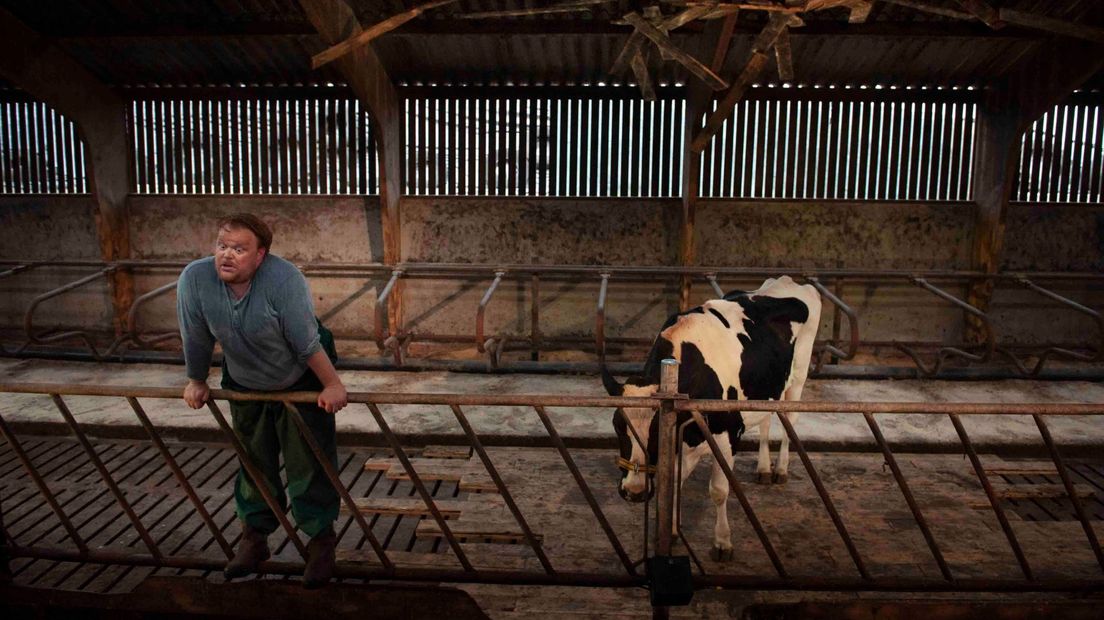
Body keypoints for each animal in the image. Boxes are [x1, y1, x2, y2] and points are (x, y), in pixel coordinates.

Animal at [604, 274, 821, 560]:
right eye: (618, 426)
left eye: (655, 429)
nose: (634, 491)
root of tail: (788, 281)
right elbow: (674, 480)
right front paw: (671, 532)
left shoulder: (727, 435)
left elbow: (719, 490)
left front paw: (722, 542)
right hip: (765, 388)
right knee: (765, 421)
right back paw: (764, 468)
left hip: (798, 378)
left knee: (790, 422)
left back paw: (780, 469)